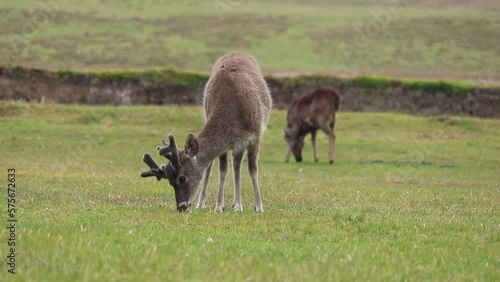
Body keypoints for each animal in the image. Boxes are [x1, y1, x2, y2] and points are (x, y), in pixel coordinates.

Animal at [141, 52, 274, 212]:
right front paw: (219, 206)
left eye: (182, 178)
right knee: (216, 165)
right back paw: (205, 203)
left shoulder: (255, 134)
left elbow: (252, 169)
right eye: (170, 182)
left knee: (237, 166)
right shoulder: (228, 143)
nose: (181, 206)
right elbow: (222, 169)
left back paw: (237, 204)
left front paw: (259, 207)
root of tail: (237, 52)